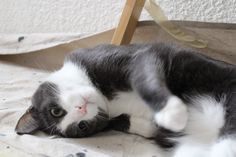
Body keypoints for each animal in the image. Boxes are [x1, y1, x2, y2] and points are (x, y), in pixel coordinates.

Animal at [15, 43, 236, 157]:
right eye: (82, 126)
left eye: (55, 111)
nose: (81, 108)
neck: (106, 99)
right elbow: (121, 122)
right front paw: (150, 125)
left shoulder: (131, 57)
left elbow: (144, 76)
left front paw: (171, 112)